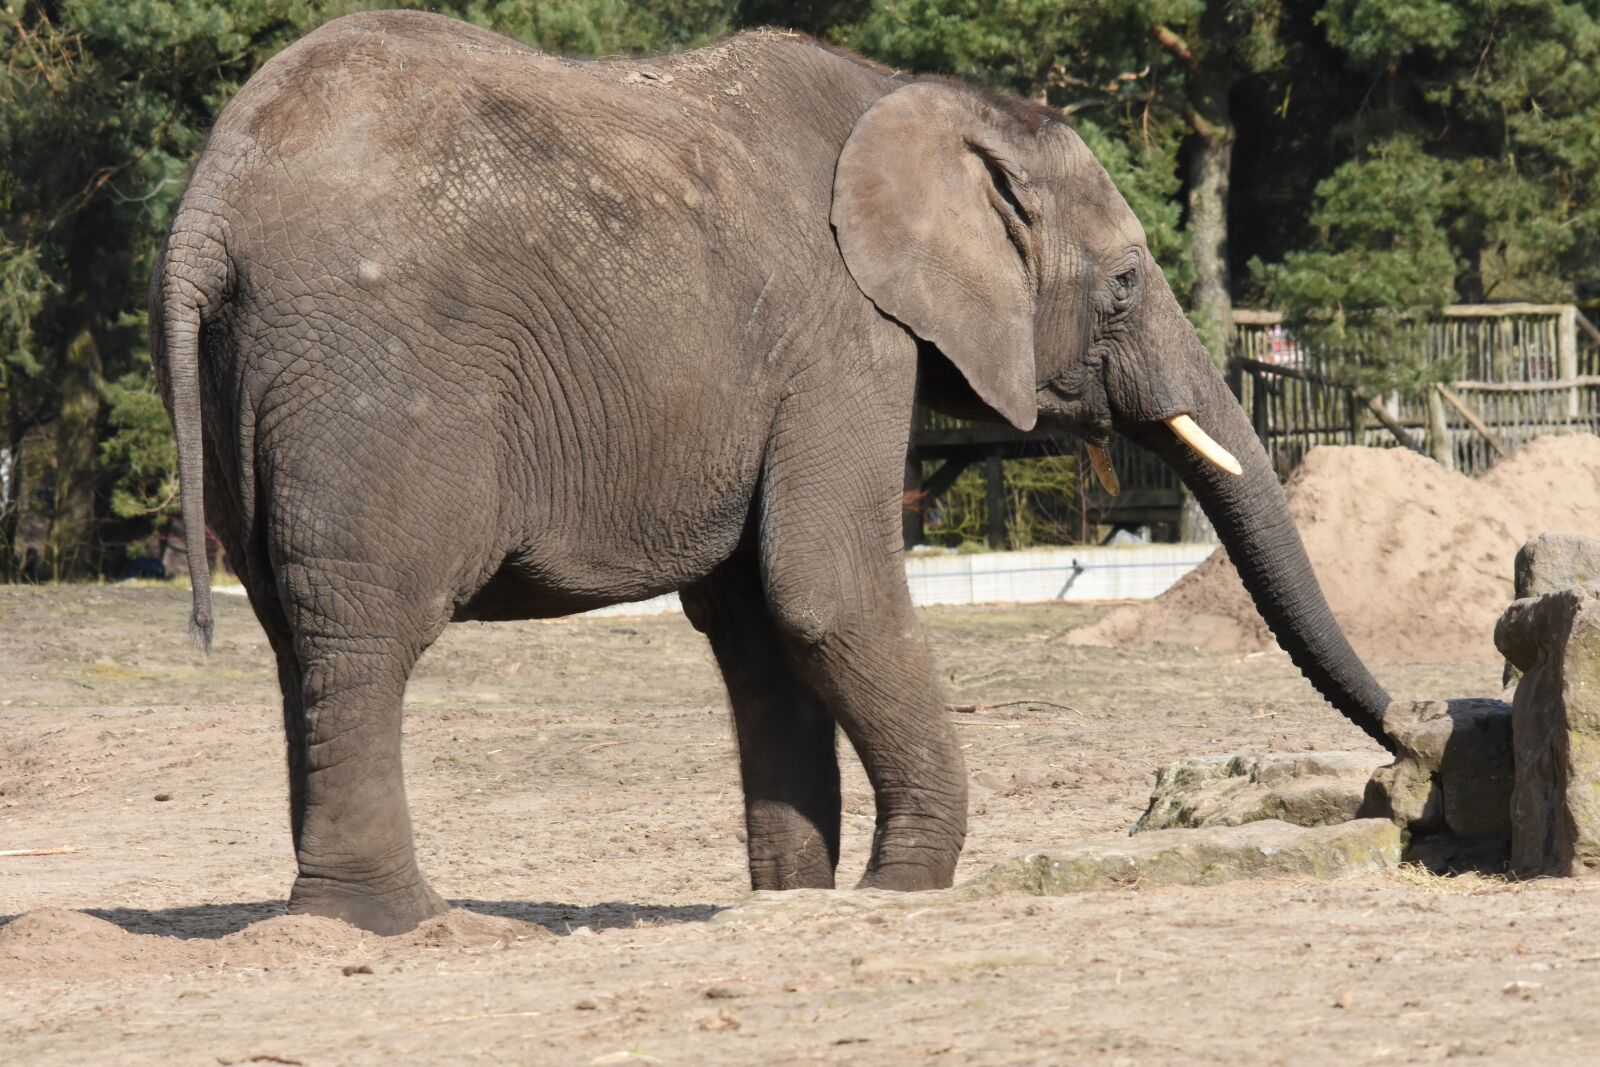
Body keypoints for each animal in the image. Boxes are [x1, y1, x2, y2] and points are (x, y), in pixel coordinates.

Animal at [150, 10, 1394, 934]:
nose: (1409, 727)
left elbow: (758, 621)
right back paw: (396, 922)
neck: (914, 99)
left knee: (294, 629)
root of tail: (210, 205)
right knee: (367, 623)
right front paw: (899, 892)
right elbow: (825, 588)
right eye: (1127, 283)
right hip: (371, 367)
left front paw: (793, 900)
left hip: (250, 377)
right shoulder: (841, 336)